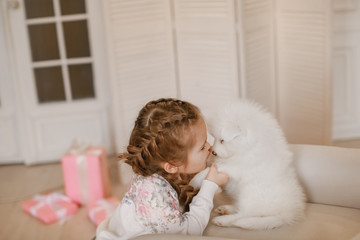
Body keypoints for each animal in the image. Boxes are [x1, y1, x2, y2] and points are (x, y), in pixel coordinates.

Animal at [190, 100, 306, 231]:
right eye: (215, 138)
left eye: (222, 140)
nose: (213, 152)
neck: (248, 147)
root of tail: (286, 214)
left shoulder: (239, 167)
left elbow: (217, 167)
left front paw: (196, 179)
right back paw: (226, 209)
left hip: (250, 194)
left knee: (243, 215)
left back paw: (223, 220)